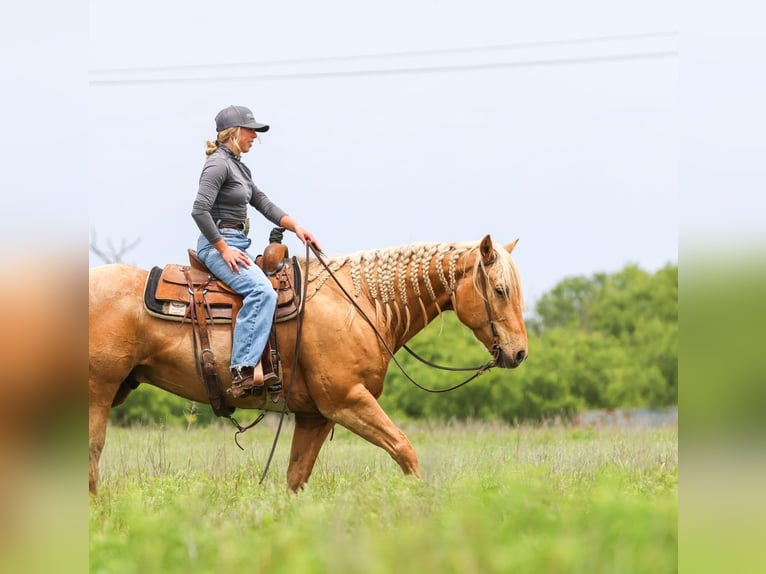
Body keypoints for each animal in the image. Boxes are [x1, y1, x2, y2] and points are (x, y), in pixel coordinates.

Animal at [88, 234, 528, 494]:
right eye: (500, 290)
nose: (520, 353)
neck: (361, 304)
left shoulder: (315, 416)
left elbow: (296, 477)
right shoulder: (347, 401)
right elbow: (405, 450)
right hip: (97, 393)